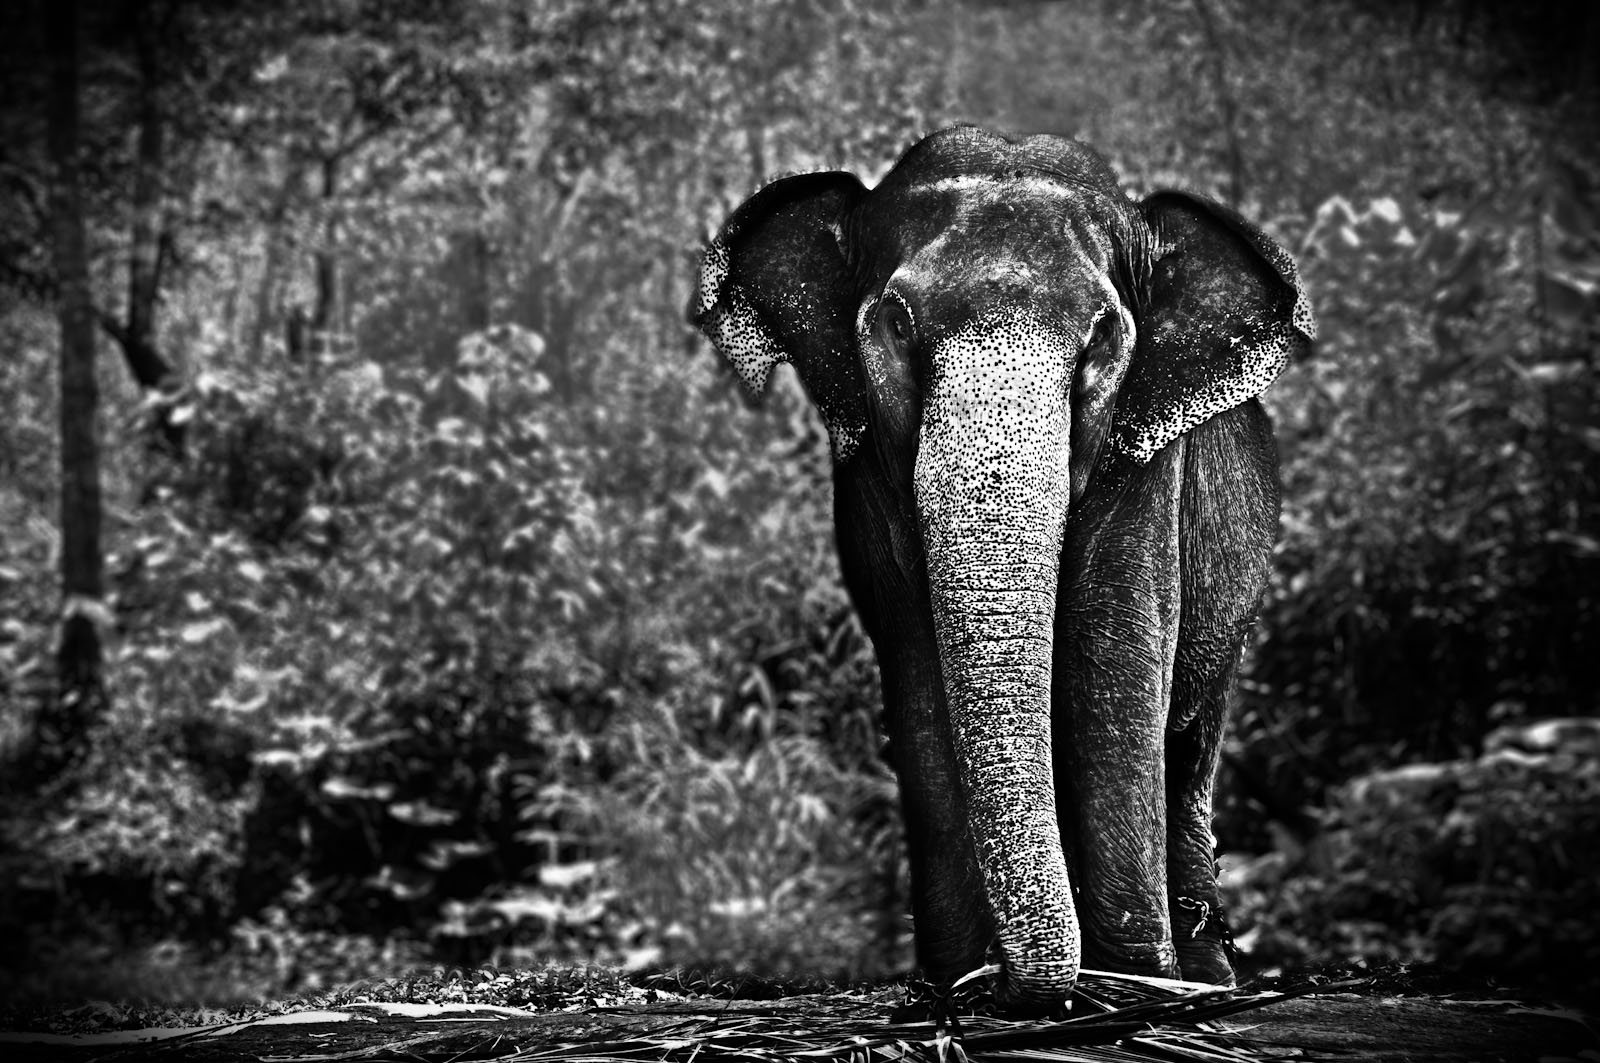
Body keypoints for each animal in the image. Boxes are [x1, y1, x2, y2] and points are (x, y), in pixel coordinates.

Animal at [688, 126, 1312, 1011]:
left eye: (1101, 341)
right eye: (897, 325)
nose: (1019, 986)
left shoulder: (1145, 461)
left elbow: (1116, 650)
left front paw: (1135, 982)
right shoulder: (868, 470)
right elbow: (915, 657)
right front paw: (957, 982)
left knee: (1189, 745)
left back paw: (1204, 980)